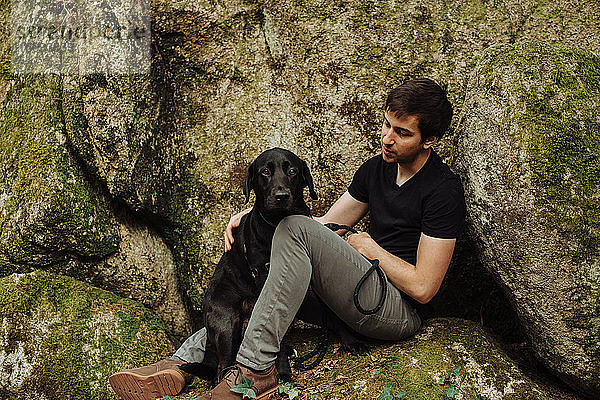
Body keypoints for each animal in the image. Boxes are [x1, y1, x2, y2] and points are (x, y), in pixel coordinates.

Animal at [179, 148, 316, 382]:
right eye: (265, 172)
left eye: (292, 171)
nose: (281, 196)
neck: (277, 225)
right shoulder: (264, 276)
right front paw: (282, 370)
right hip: (226, 325)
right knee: (222, 367)